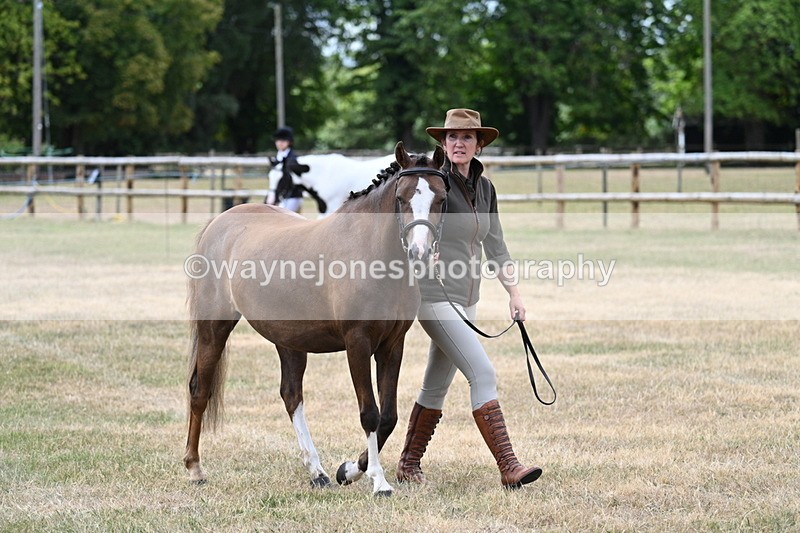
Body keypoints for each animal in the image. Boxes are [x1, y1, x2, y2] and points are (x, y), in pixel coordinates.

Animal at [266, 153, 397, 215]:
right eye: (270, 176)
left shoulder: (332, 208)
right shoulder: (323, 209)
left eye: (282, 178)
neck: (323, 175)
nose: (270, 200)